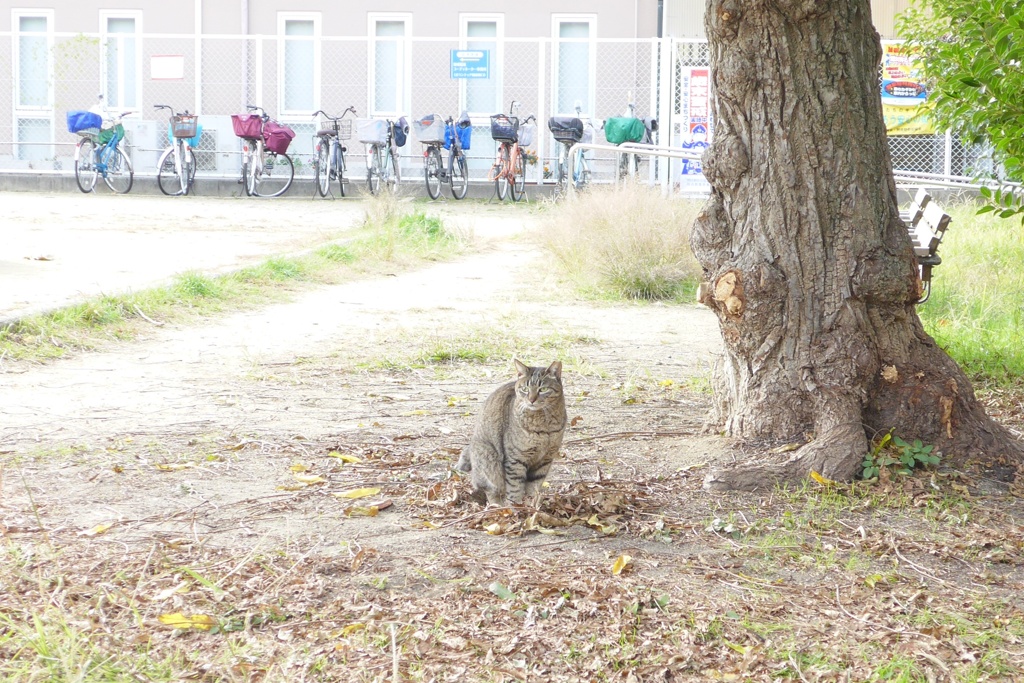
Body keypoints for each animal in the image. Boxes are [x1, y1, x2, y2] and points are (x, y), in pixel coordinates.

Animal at [456, 360, 569, 505]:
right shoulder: (516, 459)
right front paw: (515, 507)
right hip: (488, 458)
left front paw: (533, 506)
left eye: (543, 389)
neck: (544, 425)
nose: (531, 400)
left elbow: (534, 487)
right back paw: (497, 506)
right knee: (490, 489)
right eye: (525, 389)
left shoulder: (545, 459)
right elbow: (515, 488)